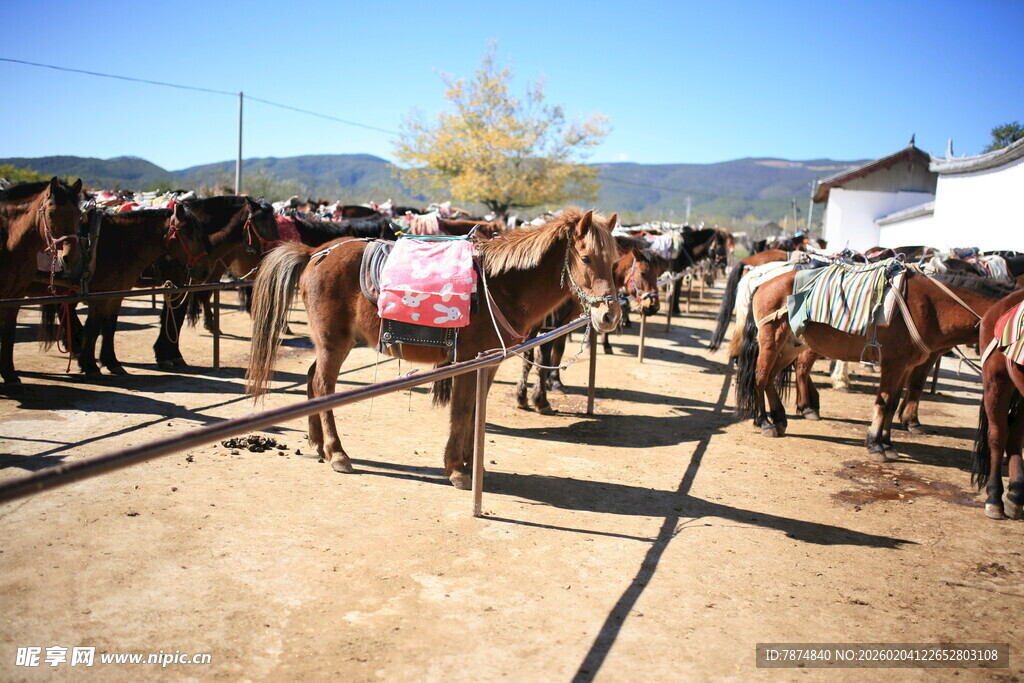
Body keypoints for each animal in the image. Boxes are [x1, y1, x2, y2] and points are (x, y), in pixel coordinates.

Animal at [0, 178, 83, 389]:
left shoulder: (14, 297)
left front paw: (10, 375)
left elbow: (8, 333)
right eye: (51, 213)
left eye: (79, 214)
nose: (69, 258)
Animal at [246, 208, 623, 488]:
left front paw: (470, 463)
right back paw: (338, 453)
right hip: (333, 342)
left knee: (312, 379)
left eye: (614, 262)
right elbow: (462, 411)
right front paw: (457, 469)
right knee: (324, 385)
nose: (609, 316)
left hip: (331, 344)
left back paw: (318, 445)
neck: (500, 285)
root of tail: (315, 253)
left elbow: (475, 410)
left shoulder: (488, 363)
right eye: (586, 258)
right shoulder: (468, 361)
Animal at [515, 234, 664, 414]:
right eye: (642, 273)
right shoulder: (547, 328)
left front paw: (552, 384)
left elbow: (554, 353)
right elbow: (539, 361)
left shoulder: (562, 325)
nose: (653, 306)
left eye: (657, 273)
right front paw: (540, 399)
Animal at [736, 268, 1016, 461]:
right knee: (760, 377)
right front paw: (875, 444)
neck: (931, 306)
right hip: (772, 340)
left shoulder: (906, 367)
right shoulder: (893, 364)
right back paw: (765, 422)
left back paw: (779, 419)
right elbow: (884, 403)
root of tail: (763, 283)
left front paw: (888, 443)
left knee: (770, 378)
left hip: (791, 346)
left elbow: (892, 404)